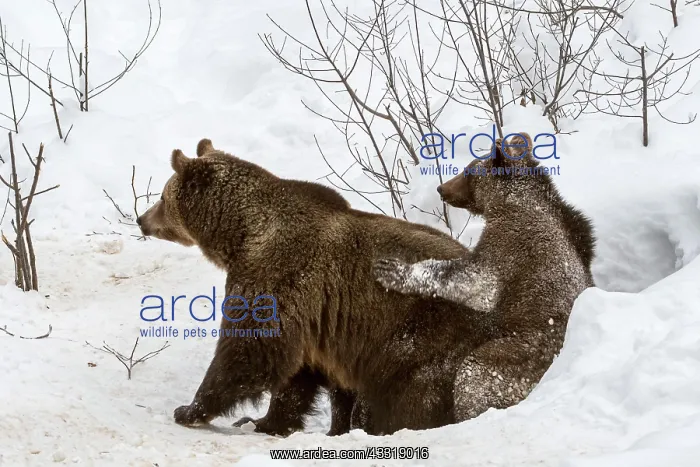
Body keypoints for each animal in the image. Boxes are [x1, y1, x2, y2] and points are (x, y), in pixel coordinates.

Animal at [136, 139, 495, 435]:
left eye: (161, 197)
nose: (141, 219)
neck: (243, 235)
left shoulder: (277, 276)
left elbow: (250, 349)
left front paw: (190, 409)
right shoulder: (315, 318)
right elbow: (297, 374)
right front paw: (266, 421)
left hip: (420, 333)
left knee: (408, 391)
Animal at [372, 132, 596, 421]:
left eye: (469, 171)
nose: (442, 188)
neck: (506, 203)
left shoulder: (509, 247)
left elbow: (474, 279)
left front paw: (394, 270)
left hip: (518, 355)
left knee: (474, 372)